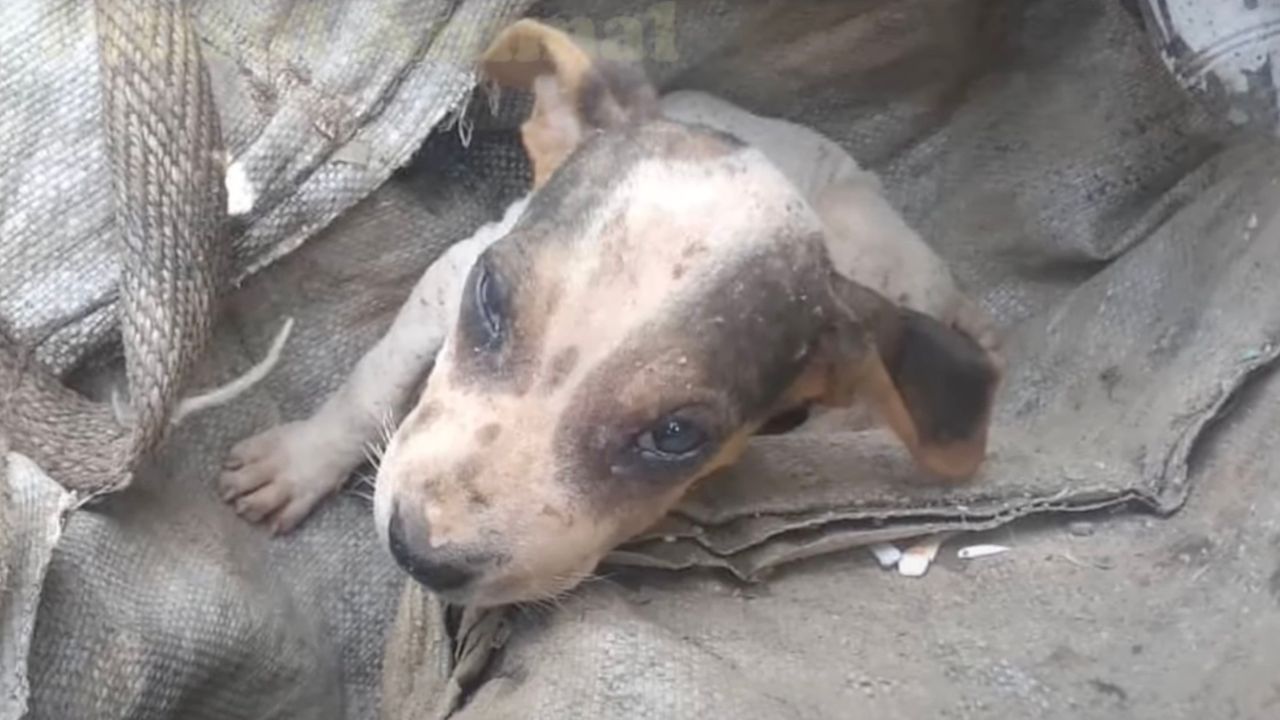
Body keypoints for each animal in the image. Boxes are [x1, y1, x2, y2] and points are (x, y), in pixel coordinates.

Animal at [222, 19, 998, 604]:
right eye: (491, 298)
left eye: (674, 436)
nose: (417, 554)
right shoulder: (452, 273)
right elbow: (369, 386)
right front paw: (299, 462)